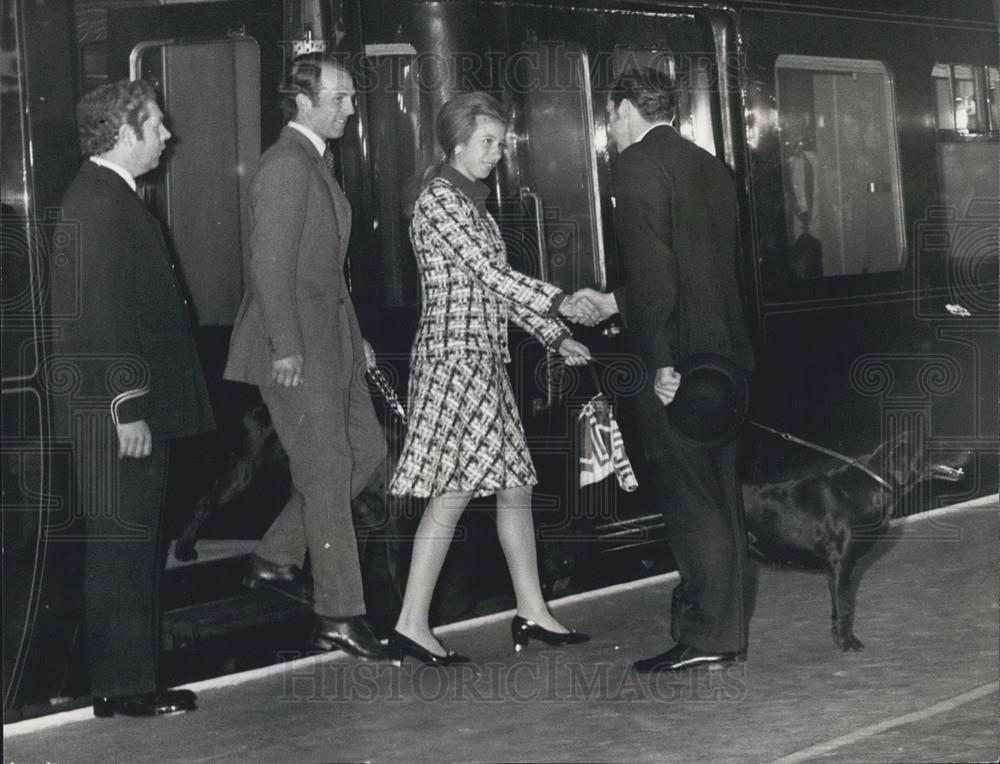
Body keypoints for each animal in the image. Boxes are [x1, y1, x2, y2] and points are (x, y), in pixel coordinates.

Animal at [744, 430, 968, 652]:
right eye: (935, 442)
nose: (969, 450)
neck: (873, 487)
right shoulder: (841, 564)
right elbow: (845, 607)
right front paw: (848, 642)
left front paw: (840, 639)